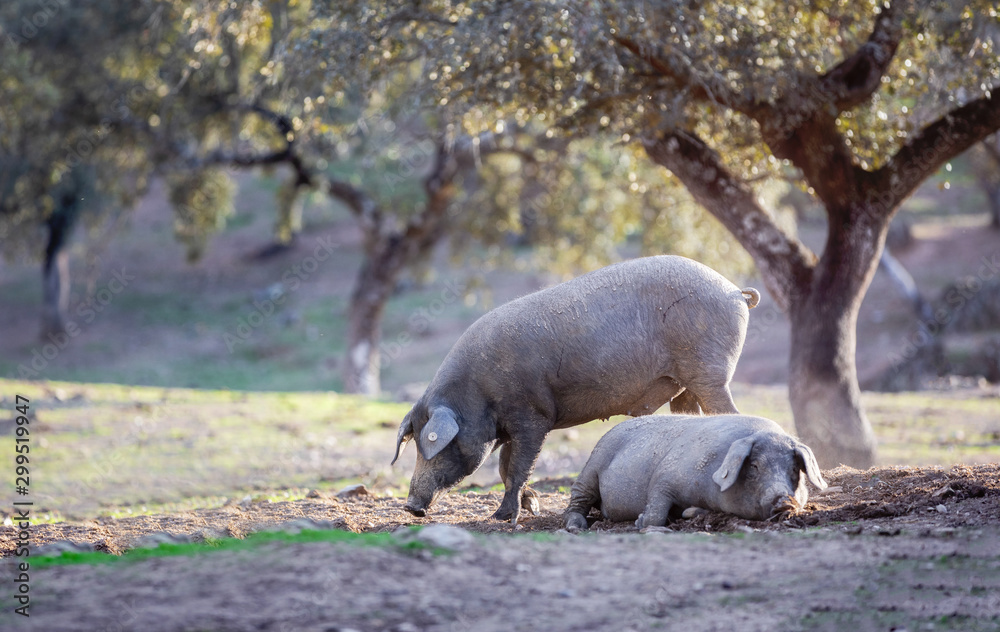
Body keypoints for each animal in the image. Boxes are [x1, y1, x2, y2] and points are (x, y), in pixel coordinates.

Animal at [391, 255, 761, 524]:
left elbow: (517, 466)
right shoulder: (511, 425)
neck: (478, 392)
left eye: (431, 445)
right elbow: (505, 466)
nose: (410, 506)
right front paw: (530, 507)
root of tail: (734, 291)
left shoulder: (533, 416)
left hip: (711, 372)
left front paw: (502, 517)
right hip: (683, 386)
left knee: (728, 411)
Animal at [564, 414, 827, 530]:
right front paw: (640, 521)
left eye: (794, 469)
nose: (785, 500)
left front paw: (687, 513)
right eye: (754, 466)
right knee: (577, 500)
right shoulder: (665, 477)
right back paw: (576, 526)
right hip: (592, 465)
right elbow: (656, 508)